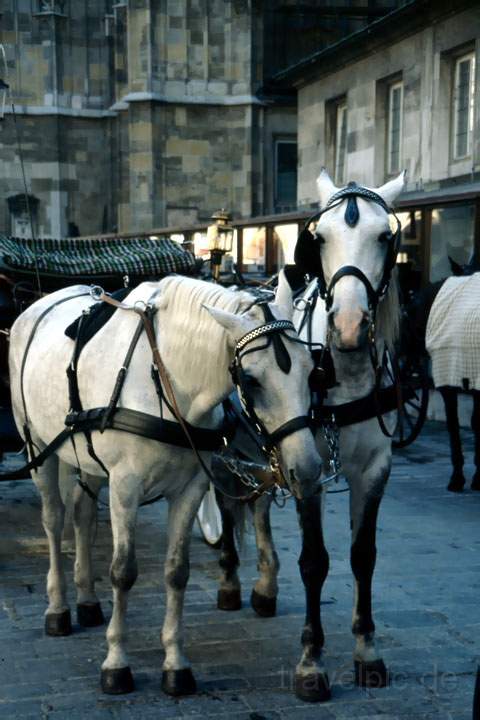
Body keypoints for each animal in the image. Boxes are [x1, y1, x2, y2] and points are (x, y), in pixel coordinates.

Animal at [7, 272, 320, 696]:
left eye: (311, 369)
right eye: (251, 380)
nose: (309, 468)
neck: (167, 377)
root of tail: (38, 304)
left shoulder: (189, 488)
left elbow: (177, 571)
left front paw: (175, 662)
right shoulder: (125, 487)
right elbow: (123, 572)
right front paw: (116, 662)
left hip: (86, 456)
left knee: (83, 516)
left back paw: (87, 600)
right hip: (37, 446)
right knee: (54, 521)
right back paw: (57, 607)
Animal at [215, 166, 404, 700]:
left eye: (385, 237)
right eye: (318, 239)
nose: (348, 325)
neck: (346, 375)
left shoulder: (373, 468)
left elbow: (363, 556)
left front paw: (367, 650)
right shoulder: (310, 470)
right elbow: (315, 561)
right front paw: (311, 661)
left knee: (256, 503)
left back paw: (263, 586)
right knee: (225, 501)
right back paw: (231, 580)